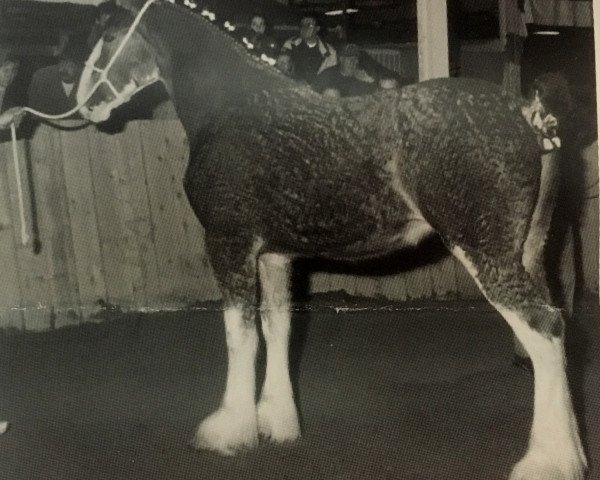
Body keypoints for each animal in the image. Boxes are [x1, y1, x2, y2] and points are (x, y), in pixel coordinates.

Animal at [75, 1, 584, 478]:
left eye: (110, 36)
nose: (84, 104)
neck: (233, 110)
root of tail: (526, 112)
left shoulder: (229, 244)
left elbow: (239, 335)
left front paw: (228, 431)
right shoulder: (274, 257)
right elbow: (276, 328)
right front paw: (276, 421)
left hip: (485, 252)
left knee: (543, 329)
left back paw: (545, 461)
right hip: (527, 251)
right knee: (556, 328)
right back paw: (572, 453)